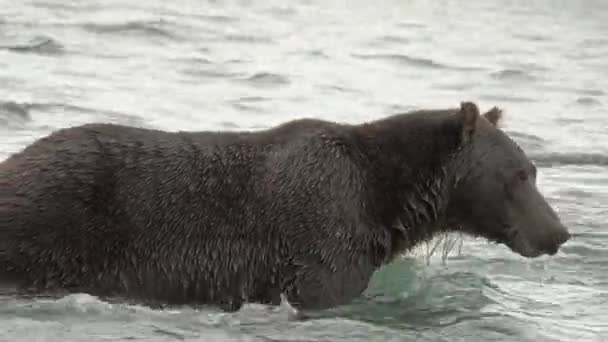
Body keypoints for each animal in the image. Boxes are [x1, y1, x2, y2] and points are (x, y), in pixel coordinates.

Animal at [0, 100, 568, 312]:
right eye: (519, 175)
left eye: (533, 170)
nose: (558, 233)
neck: (384, 196)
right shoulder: (323, 238)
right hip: (52, 219)